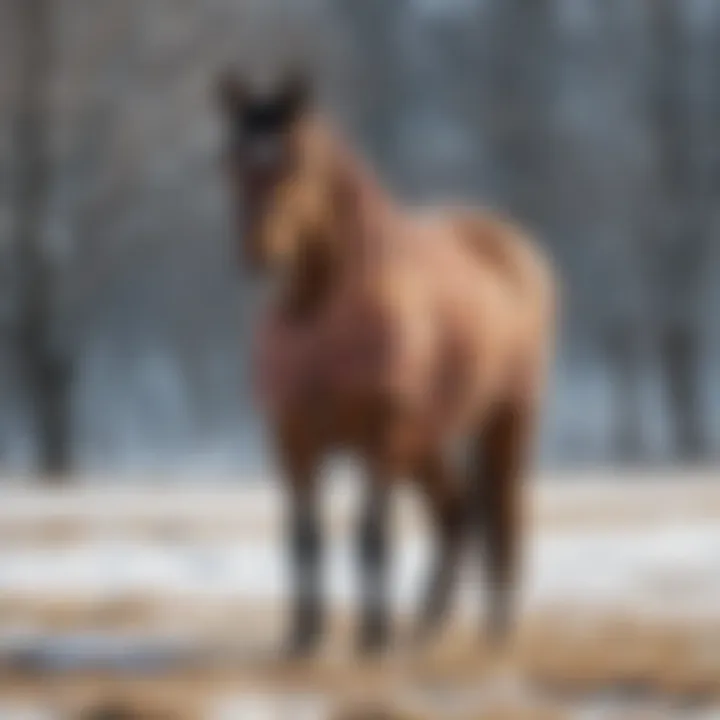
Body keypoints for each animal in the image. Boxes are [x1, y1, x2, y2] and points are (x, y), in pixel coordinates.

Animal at [215, 70, 556, 656]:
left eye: (298, 158)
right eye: (232, 159)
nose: (258, 249)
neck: (323, 310)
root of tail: (513, 248)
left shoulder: (382, 434)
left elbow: (371, 534)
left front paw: (372, 639)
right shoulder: (291, 438)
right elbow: (304, 537)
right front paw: (304, 638)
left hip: (504, 420)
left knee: (500, 513)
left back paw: (490, 630)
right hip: (427, 438)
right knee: (456, 512)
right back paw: (424, 627)